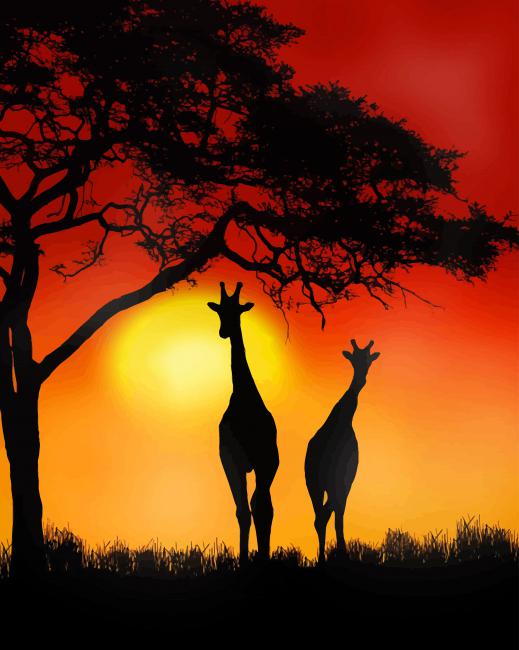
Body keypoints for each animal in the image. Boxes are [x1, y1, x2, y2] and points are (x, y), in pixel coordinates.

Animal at [208, 282, 279, 564]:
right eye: (219, 311)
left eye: (237, 310)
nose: (223, 331)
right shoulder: (233, 459)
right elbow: (243, 510)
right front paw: (245, 558)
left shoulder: (262, 460)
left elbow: (257, 508)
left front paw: (255, 557)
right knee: (253, 505)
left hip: (266, 463)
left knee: (261, 505)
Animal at [305, 339, 380, 562]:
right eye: (354, 359)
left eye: (368, 359)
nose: (362, 378)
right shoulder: (345, 478)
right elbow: (339, 513)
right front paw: (342, 551)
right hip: (330, 482)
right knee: (331, 514)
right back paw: (338, 553)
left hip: (314, 483)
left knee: (320, 515)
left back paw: (321, 557)